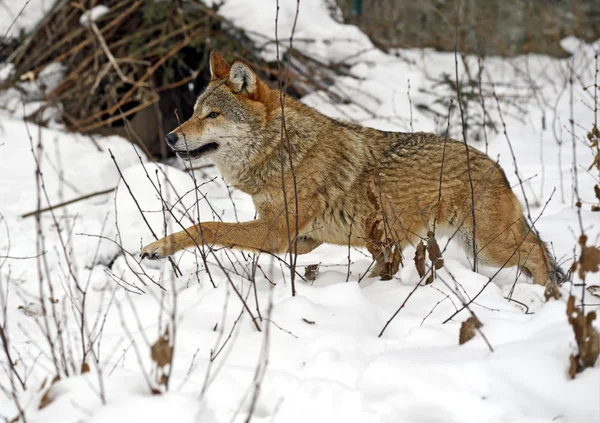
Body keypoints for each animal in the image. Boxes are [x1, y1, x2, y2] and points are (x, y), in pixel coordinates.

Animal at [141, 51, 564, 286]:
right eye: (194, 112)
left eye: (212, 115)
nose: (171, 138)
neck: (283, 152)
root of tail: (497, 167)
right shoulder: (299, 239)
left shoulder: (276, 232)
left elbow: (206, 226)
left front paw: (157, 247)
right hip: (472, 246)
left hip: (491, 248)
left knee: (539, 252)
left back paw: (550, 296)